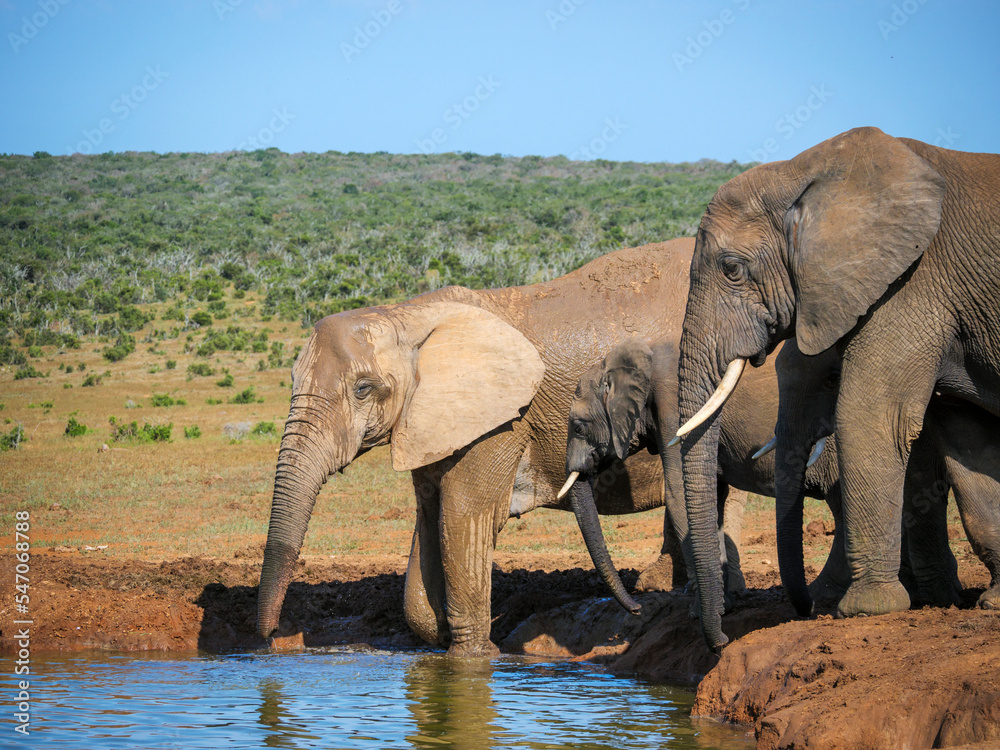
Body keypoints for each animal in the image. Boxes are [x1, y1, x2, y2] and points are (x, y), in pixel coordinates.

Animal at [258, 238, 699, 656]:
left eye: (363, 389)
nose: (272, 637)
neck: (410, 315)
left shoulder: (500, 419)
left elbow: (463, 515)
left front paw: (475, 656)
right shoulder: (431, 422)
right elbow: (430, 516)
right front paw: (438, 636)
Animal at [672, 126, 1000, 648]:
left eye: (732, 268)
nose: (720, 640)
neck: (803, 171)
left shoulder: (910, 283)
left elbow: (873, 418)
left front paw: (866, 610)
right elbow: (968, 437)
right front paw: (988, 603)